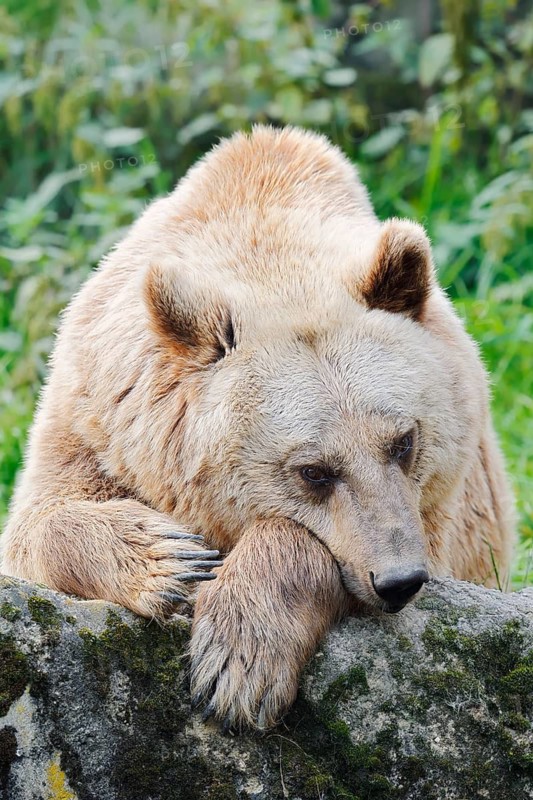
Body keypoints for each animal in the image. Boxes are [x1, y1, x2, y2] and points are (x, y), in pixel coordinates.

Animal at [1, 125, 515, 730]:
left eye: (404, 441)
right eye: (314, 471)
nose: (398, 580)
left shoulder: (442, 515)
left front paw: (237, 660)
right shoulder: (98, 422)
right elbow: (38, 523)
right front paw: (171, 560)